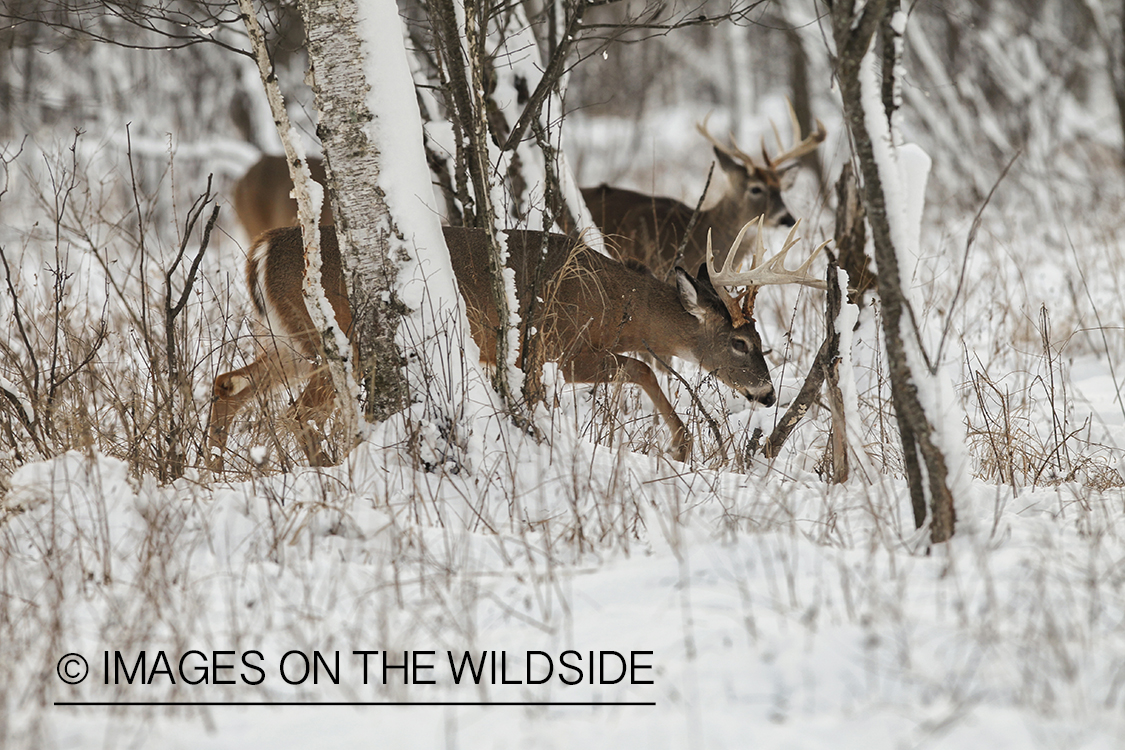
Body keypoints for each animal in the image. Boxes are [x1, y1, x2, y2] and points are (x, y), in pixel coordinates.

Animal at [207, 220, 823, 472]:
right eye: (742, 342)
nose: (769, 395)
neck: (621, 305)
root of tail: (263, 248)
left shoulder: (531, 358)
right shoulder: (563, 346)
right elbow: (641, 369)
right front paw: (681, 444)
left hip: (291, 341)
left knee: (227, 382)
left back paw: (212, 466)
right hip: (337, 340)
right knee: (296, 410)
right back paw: (326, 472)